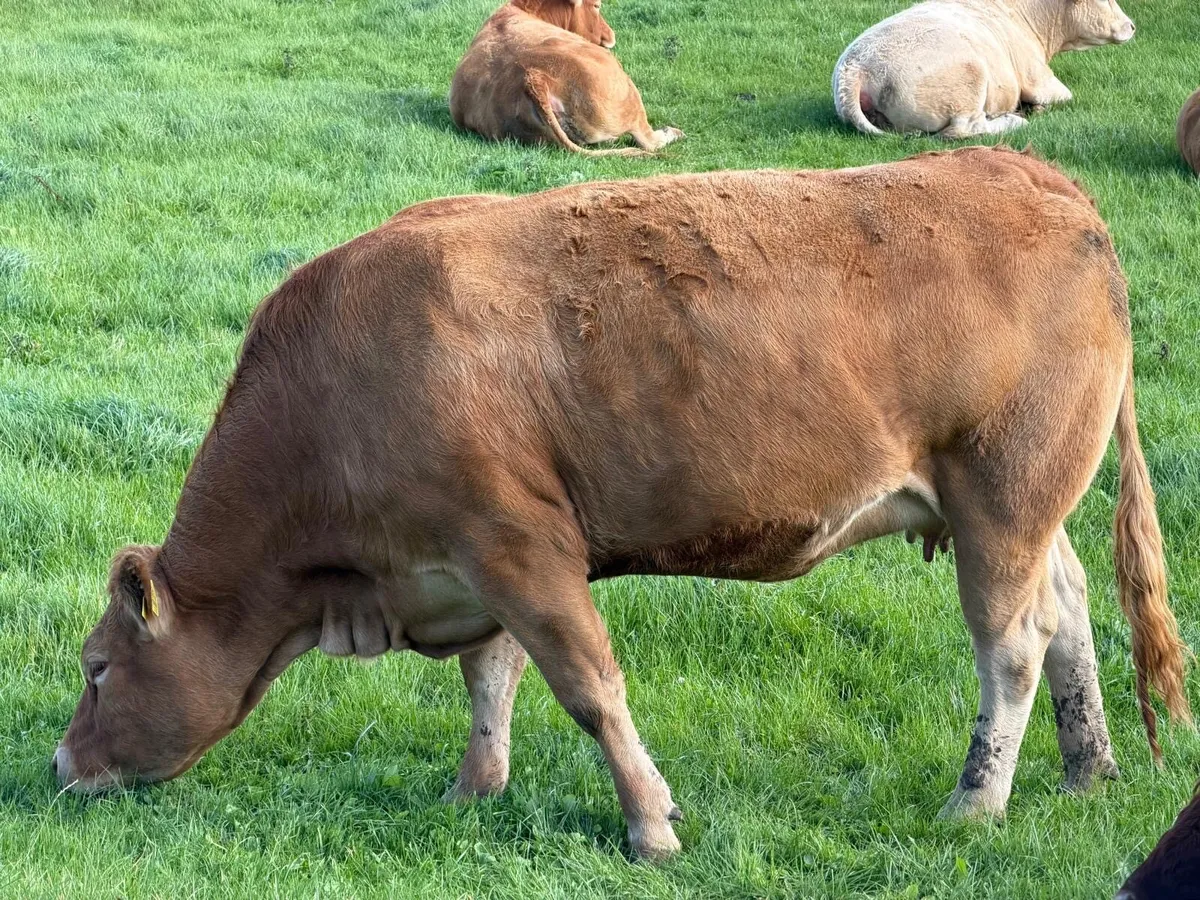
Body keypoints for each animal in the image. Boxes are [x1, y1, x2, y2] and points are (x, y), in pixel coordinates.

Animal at [54, 147, 1190, 862]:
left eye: (100, 668)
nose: (63, 764)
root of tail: (1031, 173)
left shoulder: (522, 547)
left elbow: (588, 688)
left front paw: (651, 825)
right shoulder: (473, 562)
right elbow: (490, 678)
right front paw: (475, 788)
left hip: (1001, 494)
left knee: (1012, 646)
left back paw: (976, 801)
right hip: (1024, 505)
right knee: (1069, 609)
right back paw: (1088, 769)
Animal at [449, 0, 683, 156]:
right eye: (597, 5)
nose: (611, 36)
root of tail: (534, 76)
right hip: (627, 93)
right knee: (648, 140)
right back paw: (672, 132)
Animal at [833, 0, 1135, 138]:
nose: (1132, 26)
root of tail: (855, 68)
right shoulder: (1039, 78)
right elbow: (1061, 96)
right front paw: (1034, 109)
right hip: (969, 80)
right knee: (961, 130)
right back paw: (1013, 120)